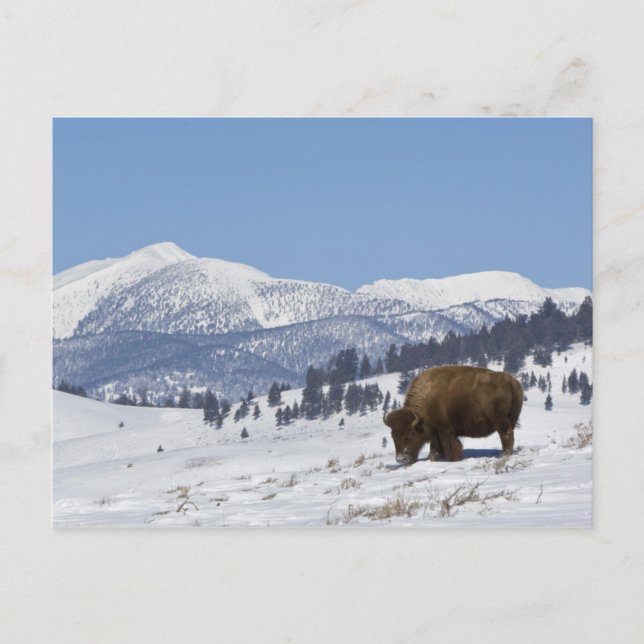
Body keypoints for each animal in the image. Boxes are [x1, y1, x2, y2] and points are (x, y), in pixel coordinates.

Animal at [384, 365, 523, 465]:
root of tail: (511, 380)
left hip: (501, 422)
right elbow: (435, 447)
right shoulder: (436, 433)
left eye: (409, 434)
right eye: (393, 436)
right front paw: (433, 458)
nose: (401, 459)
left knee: (506, 436)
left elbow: (449, 446)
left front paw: (453, 459)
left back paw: (504, 455)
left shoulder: (444, 430)